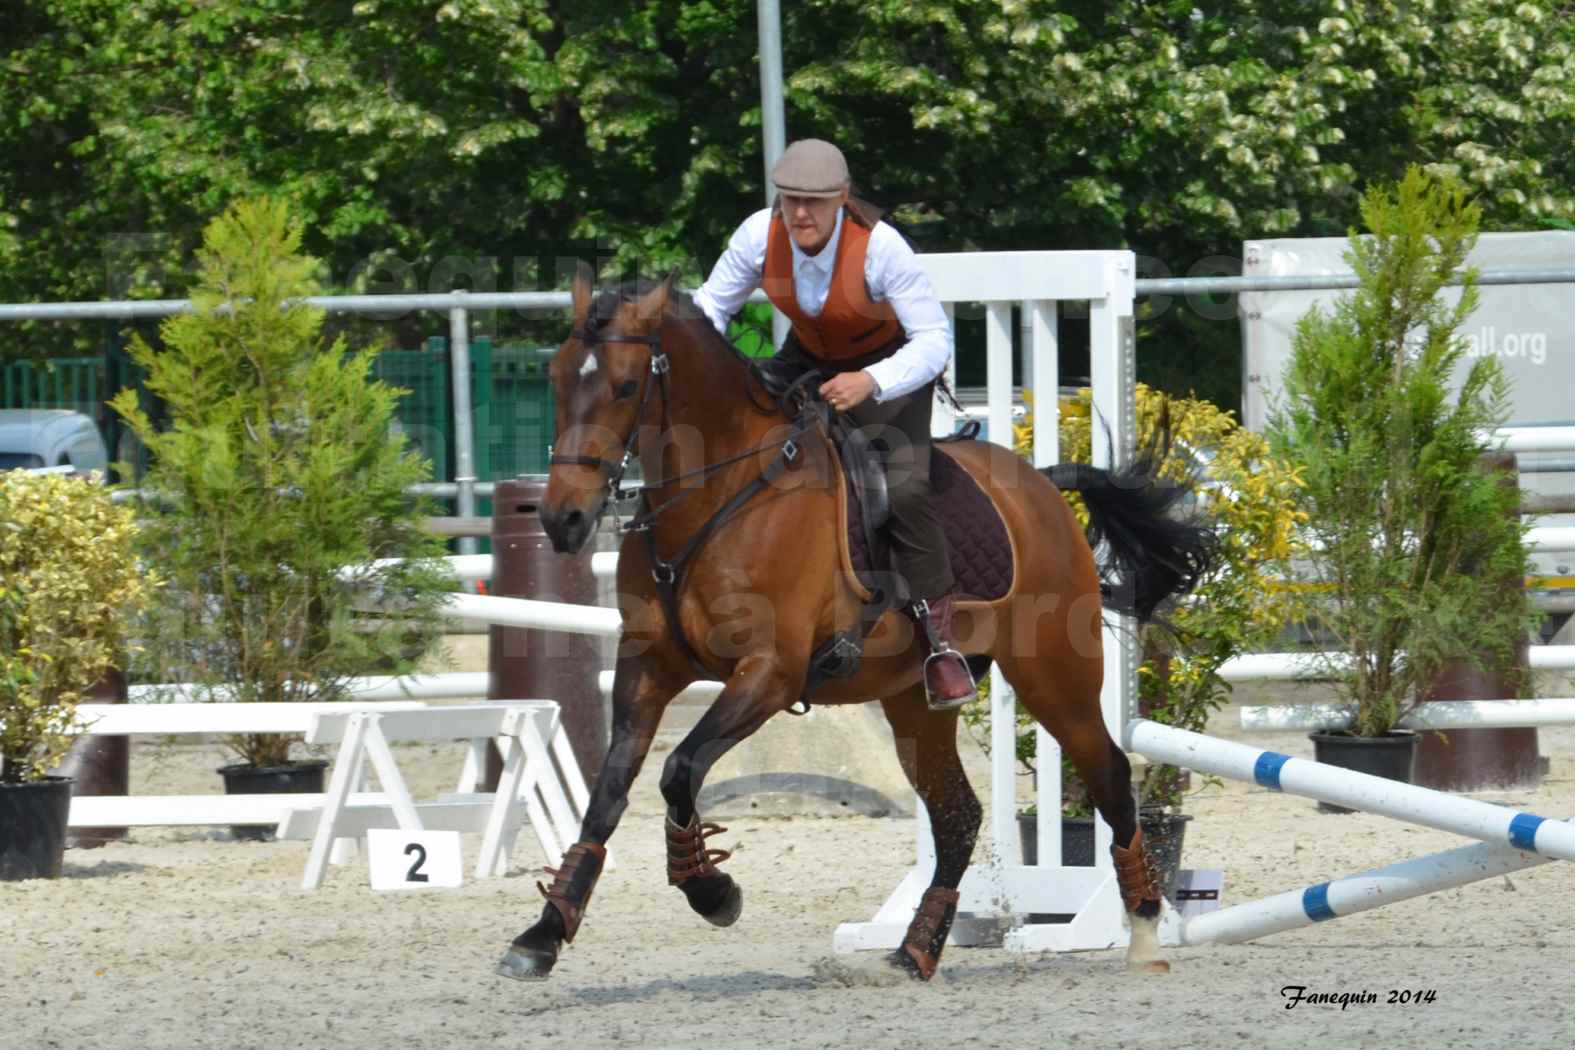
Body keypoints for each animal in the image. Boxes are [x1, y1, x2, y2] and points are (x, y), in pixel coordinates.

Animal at [497, 264, 1209, 988]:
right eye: (557, 377)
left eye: (624, 386)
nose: (562, 520)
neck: (716, 495)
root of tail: (1038, 484)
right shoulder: (648, 669)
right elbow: (609, 795)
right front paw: (542, 934)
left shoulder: (769, 674)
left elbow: (680, 769)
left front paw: (711, 892)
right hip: (916, 700)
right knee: (957, 815)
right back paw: (914, 951)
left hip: (1053, 677)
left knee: (1109, 775)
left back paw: (1143, 932)